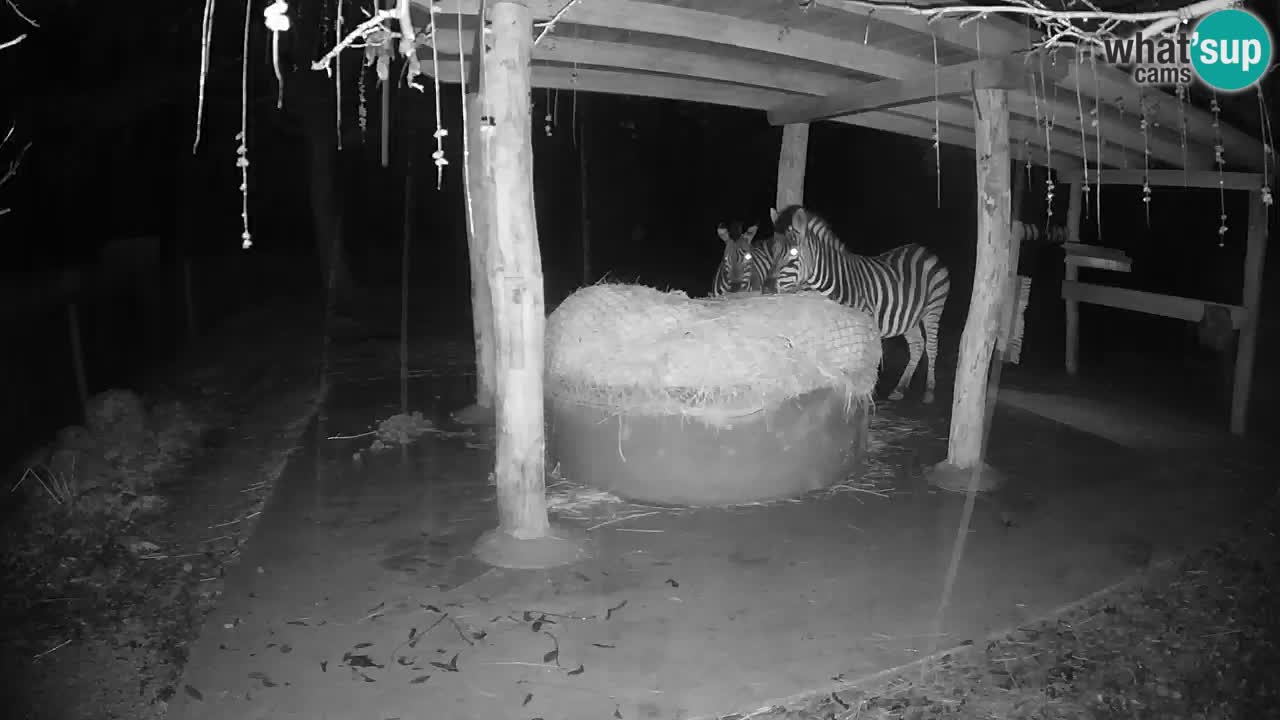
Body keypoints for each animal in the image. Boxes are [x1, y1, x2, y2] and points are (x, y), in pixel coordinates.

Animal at [757, 204, 952, 399]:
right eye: (773, 251)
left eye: (794, 252)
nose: (766, 290)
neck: (836, 282)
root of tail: (925, 250)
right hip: (909, 317)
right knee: (917, 346)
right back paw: (900, 388)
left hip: (934, 309)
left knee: (932, 347)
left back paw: (929, 391)